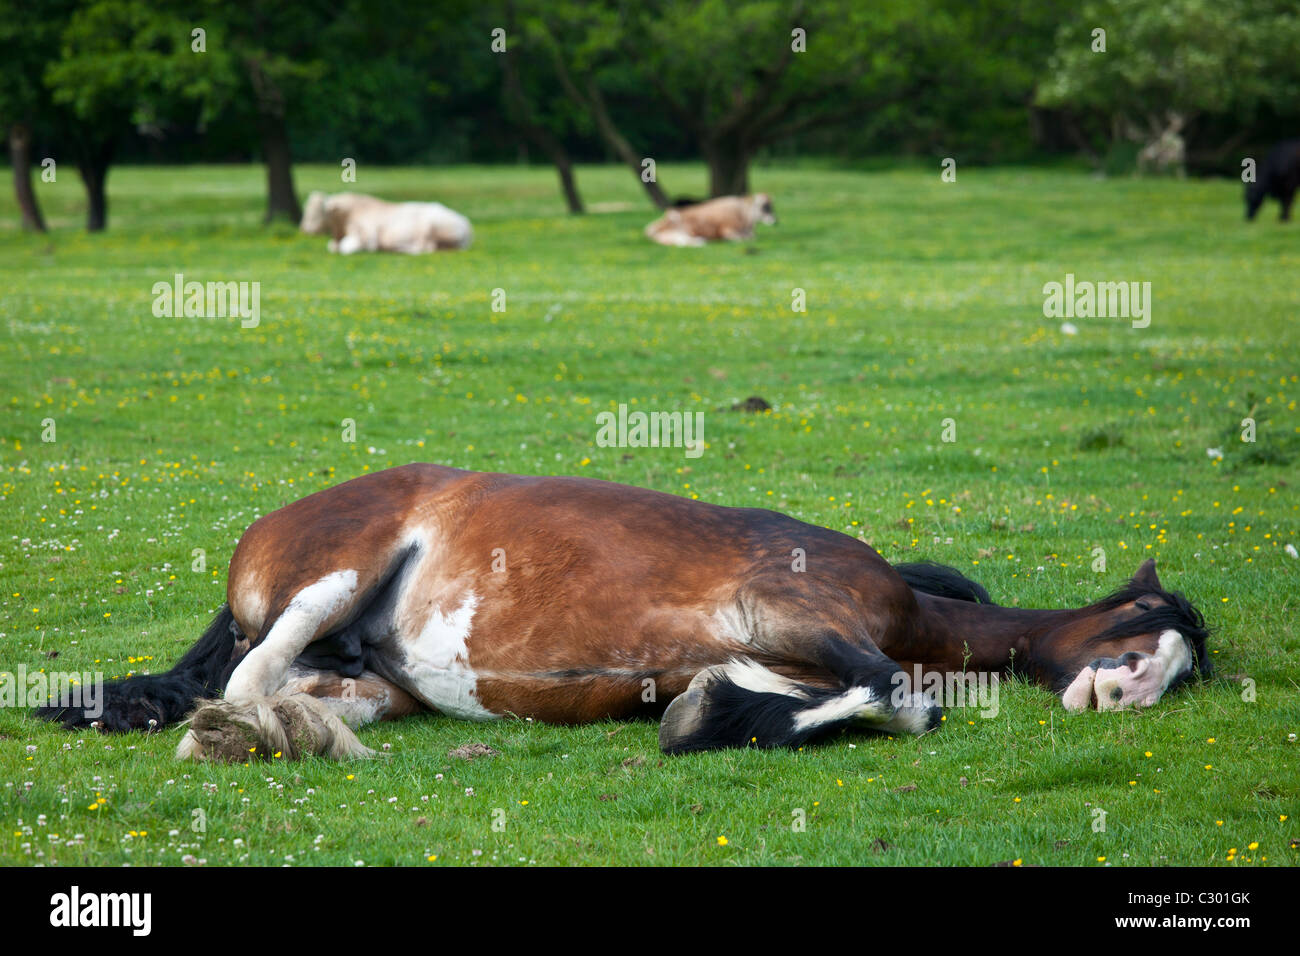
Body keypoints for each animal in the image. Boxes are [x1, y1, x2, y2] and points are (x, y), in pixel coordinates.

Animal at [35, 463, 1211, 764]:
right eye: (1151, 621)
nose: (1133, 692)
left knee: (296, 694)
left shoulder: (791, 654)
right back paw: (239, 734)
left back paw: (291, 730)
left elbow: (862, 696)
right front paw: (708, 717)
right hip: (332, 573)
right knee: (242, 680)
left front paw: (711, 709)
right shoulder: (788, 607)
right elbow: (903, 692)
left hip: (369, 680)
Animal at [297, 191, 473, 254]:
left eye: (319, 211)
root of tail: (466, 223)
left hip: (434, 227)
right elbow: (333, 246)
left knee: (427, 247)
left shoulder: (368, 237)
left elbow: (346, 248)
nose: (304, 229)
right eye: (306, 209)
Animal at [644, 193, 774, 247]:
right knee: (682, 242)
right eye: (765, 206)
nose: (775, 221)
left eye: (771, 206)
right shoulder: (727, 230)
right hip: (677, 234)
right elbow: (745, 238)